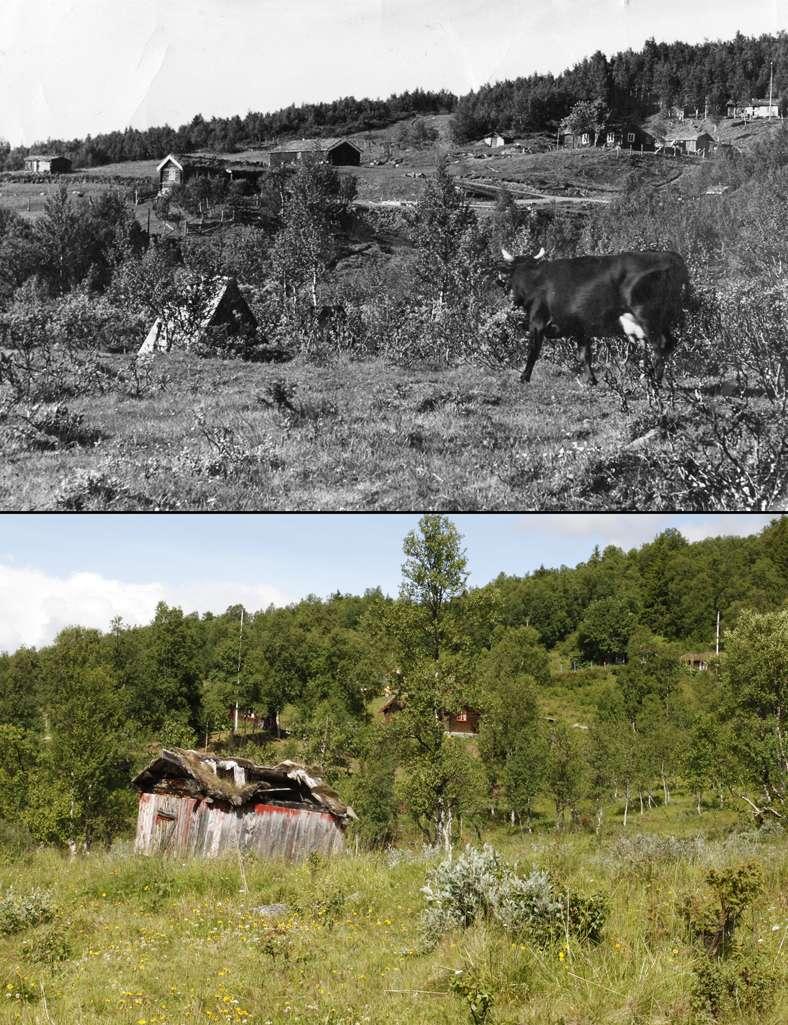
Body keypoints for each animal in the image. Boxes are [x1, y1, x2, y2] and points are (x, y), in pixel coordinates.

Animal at [498, 247, 688, 385]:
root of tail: (670, 256)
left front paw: (523, 377)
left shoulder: (537, 322)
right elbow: (585, 355)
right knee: (669, 343)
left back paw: (654, 382)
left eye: (512, 274)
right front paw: (591, 380)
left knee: (659, 345)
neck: (535, 280)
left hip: (648, 317)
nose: (511, 296)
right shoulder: (581, 328)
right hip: (664, 319)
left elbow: (533, 351)